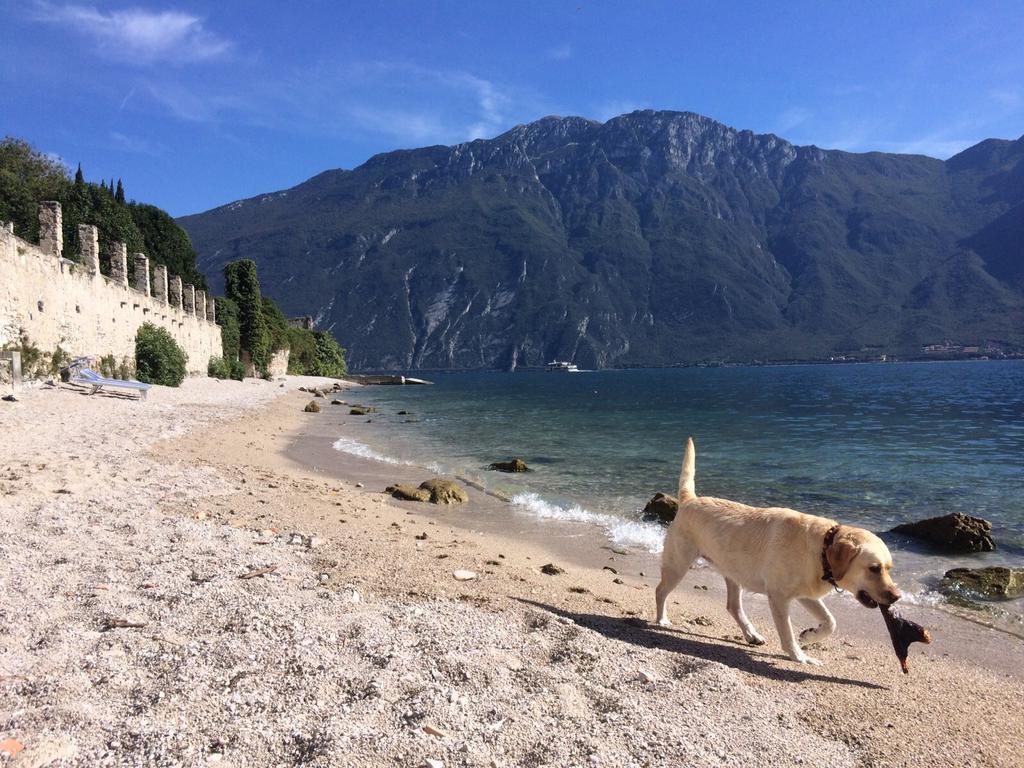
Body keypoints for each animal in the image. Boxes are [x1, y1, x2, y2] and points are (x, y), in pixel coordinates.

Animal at [659, 442, 901, 663]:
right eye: (874, 568)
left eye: (889, 568)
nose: (897, 596)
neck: (821, 549)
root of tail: (690, 499)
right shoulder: (779, 597)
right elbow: (787, 632)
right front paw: (799, 656)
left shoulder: (807, 594)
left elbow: (831, 621)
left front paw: (809, 636)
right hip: (678, 565)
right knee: (660, 591)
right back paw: (661, 620)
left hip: (733, 572)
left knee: (733, 607)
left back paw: (752, 634)